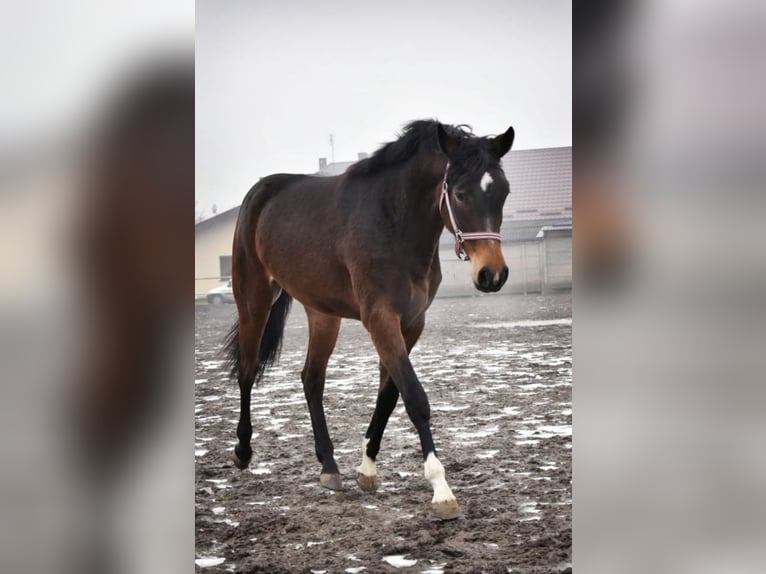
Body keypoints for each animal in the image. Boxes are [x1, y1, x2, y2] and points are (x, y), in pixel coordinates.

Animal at [228, 121, 516, 520]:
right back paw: (243, 451)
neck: (394, 223)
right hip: (253, 301)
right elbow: (414, 397)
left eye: (503, 191)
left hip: (323, 313)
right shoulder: (380, 317)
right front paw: (441, 490)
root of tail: (259, 192)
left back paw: (329, 467)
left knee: (311, 379)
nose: (493, 275)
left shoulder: (411, 322)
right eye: (459, 194)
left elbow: (390, 395)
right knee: (247, 370)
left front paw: (366, 470)